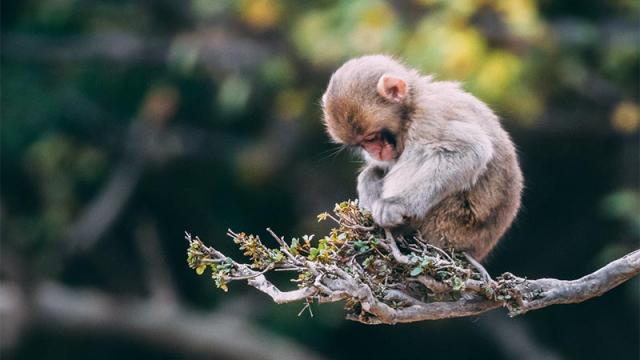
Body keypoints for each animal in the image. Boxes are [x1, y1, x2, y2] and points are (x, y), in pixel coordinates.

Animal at [322, 54, 524, 260]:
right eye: (361, 144)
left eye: (371, 137)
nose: (374, 152)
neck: (412, 104)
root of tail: (476, 250)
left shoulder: (429, 118)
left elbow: (470, 151)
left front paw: (397, 204)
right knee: (374, 171)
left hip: (450, 225)